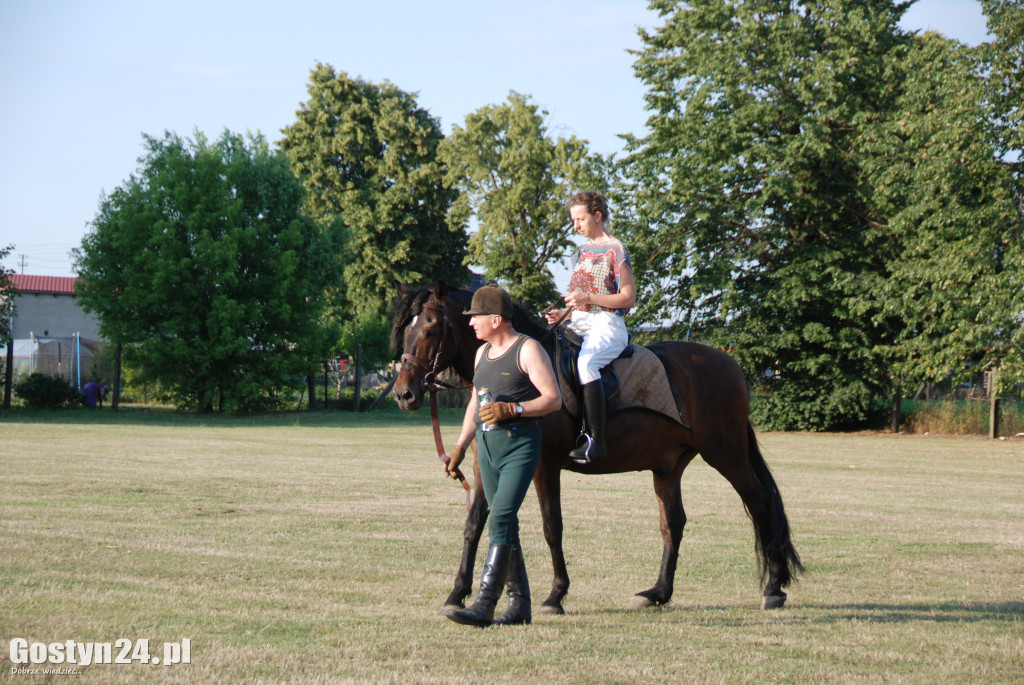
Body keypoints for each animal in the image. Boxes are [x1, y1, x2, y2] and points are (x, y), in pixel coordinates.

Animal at [391, 280, 798, 610]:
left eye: (430, 328)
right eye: (405, 330)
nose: (404, 394)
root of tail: (729, 363)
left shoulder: (543, 467)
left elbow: (551, 526)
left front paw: (556, 595)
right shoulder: (485, 467)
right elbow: (474, 524)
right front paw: (457, 592)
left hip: (726, 454)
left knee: (760, 502)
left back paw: (774, 588)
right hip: (669, 465)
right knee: (673, 522)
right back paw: (658, 593)